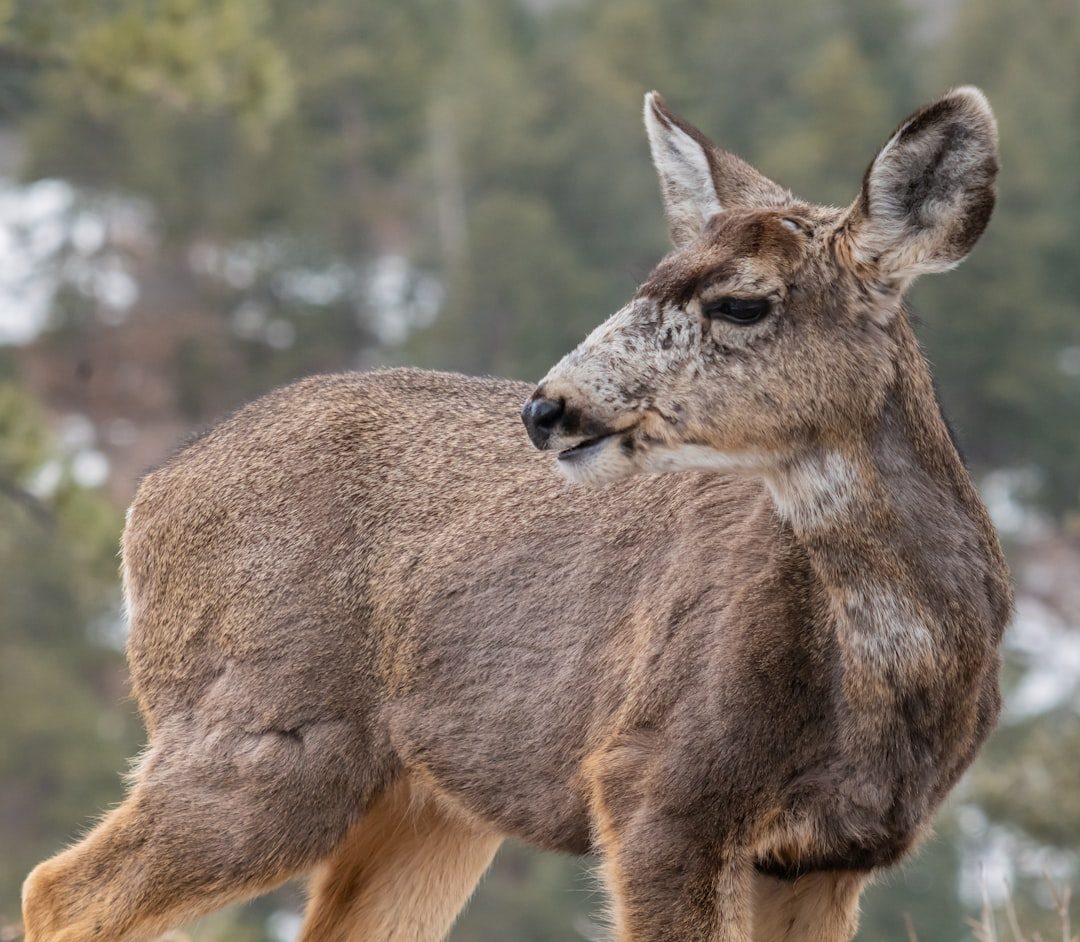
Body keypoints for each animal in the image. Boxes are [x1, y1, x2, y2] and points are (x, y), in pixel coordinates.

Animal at [23, 85, 1011, 942]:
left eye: (742, 301)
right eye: (652, 275)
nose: (548, 407)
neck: (882, 678)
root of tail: (149, 498)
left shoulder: (830, 855)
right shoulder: (655, 788)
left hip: (426, 803)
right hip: (261, 727)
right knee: (57, 890)